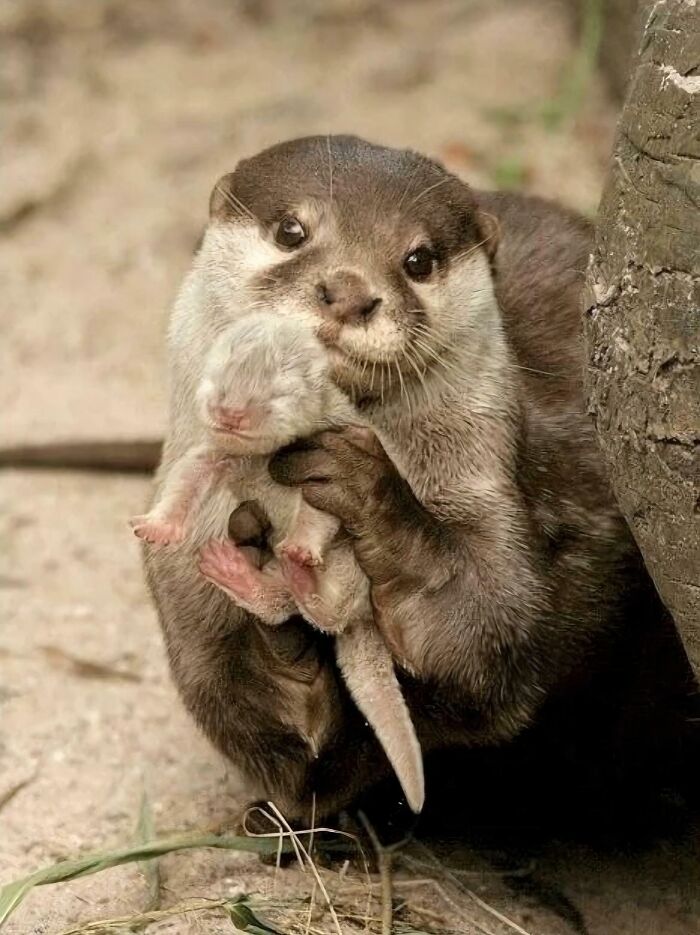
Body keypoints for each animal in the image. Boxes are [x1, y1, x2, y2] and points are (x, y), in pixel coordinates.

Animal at [144, 135, 694, 822]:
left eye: (419, 260)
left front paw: (365, 489)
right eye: (291, 230)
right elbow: (259, 728)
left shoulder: (500, 492)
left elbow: (492, 631)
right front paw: (276, 630)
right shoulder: (183, 588)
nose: (349, 291)